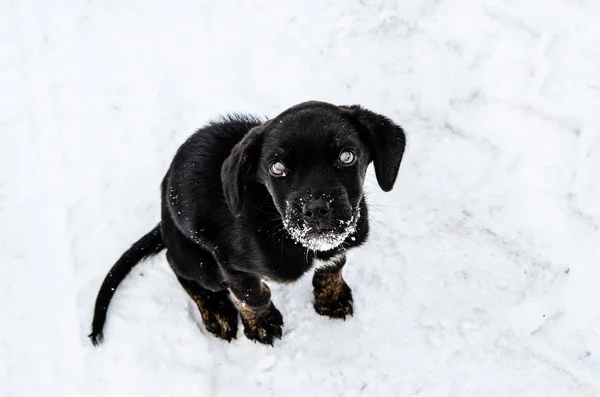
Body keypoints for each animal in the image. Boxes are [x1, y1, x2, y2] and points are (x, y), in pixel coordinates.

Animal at [89, 100, 406, 344]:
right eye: (277, 168)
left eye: (346, 156)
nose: (316, 209)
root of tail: (163, 218)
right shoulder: (228, 261)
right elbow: (252, 295)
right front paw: (261, 324)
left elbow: (335, 263)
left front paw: (332, 297)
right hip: (202, 265)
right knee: (177, 266)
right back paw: (216, 310)